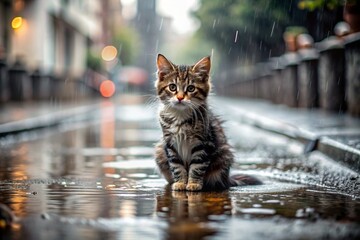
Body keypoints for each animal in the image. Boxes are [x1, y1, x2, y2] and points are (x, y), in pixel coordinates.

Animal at [155, 54, 258, 191]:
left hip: (223, 156)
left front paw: (193, 184)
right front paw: (181, 183)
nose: (180, 98)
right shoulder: (170, 144)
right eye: (172, 87)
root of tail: (227, 179)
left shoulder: (203, 143)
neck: (180, 116)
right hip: (159, 151)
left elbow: (197, 166)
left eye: (191, 88)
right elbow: (176, 166)